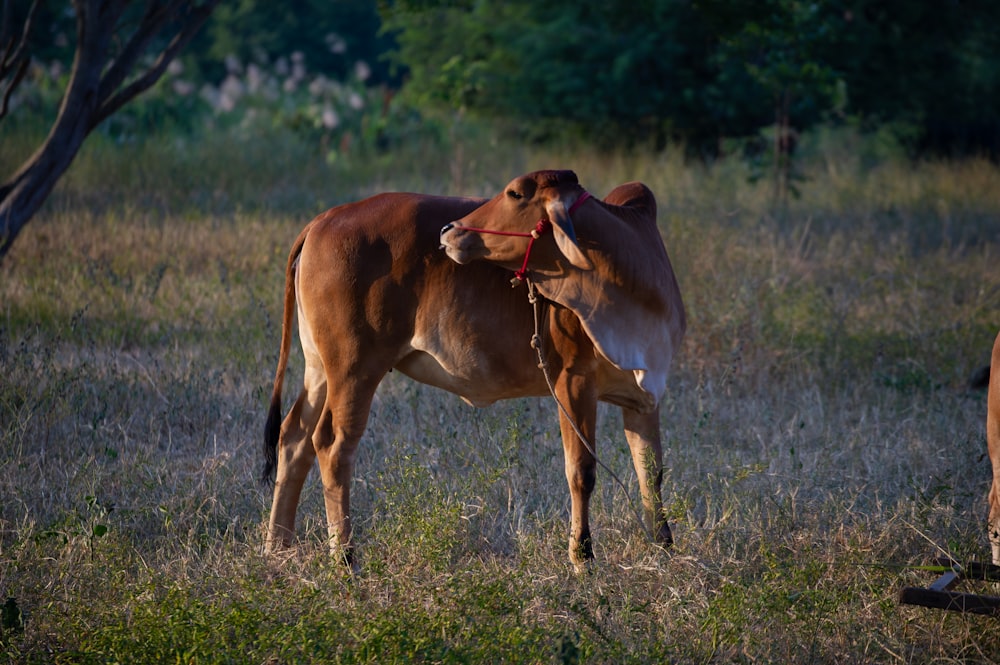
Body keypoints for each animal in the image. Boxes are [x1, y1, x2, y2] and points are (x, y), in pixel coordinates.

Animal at [264, 169, 688, 568]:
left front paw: (663, 548)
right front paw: (582, 556)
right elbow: (581, 471)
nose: (449, 230)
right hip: (355, 368)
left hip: (319, 368)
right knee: (332, 445)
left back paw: (277, 547)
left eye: (515, 194)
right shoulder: (572, 380)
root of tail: (324, 220)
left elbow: (651, 471)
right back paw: (344, 558)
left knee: (294, 437)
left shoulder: (644, 396)